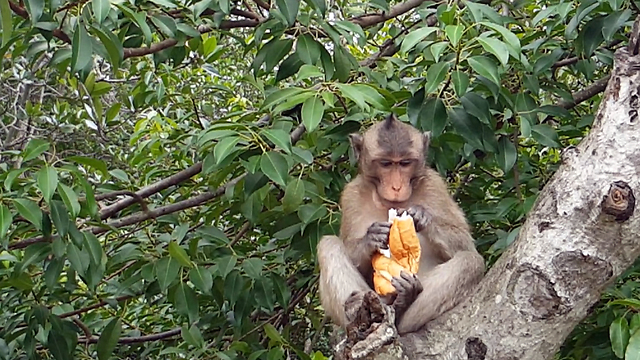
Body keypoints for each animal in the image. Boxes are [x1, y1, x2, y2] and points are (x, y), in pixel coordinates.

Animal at [318, 114, 488, 334]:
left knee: (470, 262)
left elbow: (467, 246)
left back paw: (404, 303)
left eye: (405, 163)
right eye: (386, 164)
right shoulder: (351, 196)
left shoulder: (435, 185)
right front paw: (371, 237)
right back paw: (365, 306)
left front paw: (422, 216)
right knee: (328, 244)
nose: (396, 187)